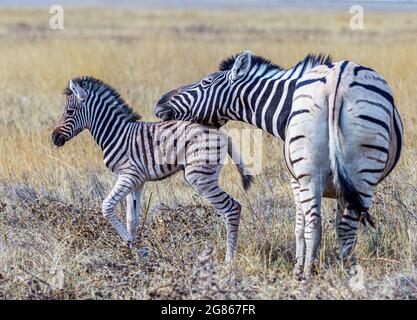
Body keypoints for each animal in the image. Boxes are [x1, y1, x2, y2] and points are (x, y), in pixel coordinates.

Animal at [52, 77, 254, 262]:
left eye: (69, 112)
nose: (53, 138)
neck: (117, 134)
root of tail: (220, 133)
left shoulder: (128, 176)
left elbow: (106, 207)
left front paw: (135, 248)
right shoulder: (137, 181)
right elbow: (132, 219)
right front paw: (133, 252)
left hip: (199, 176)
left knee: (232, 208)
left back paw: (229, 261)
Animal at [154, 52, 404, 278]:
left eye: (205, 82)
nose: (158, 104)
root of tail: (338, 80)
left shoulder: (297, 180)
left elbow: (301, 226)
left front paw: (299, 268)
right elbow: (323, 227)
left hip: (323, 174)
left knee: (318, 225)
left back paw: (312, 276)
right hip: (353, 175)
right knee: (340, 228)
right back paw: (341, 273)